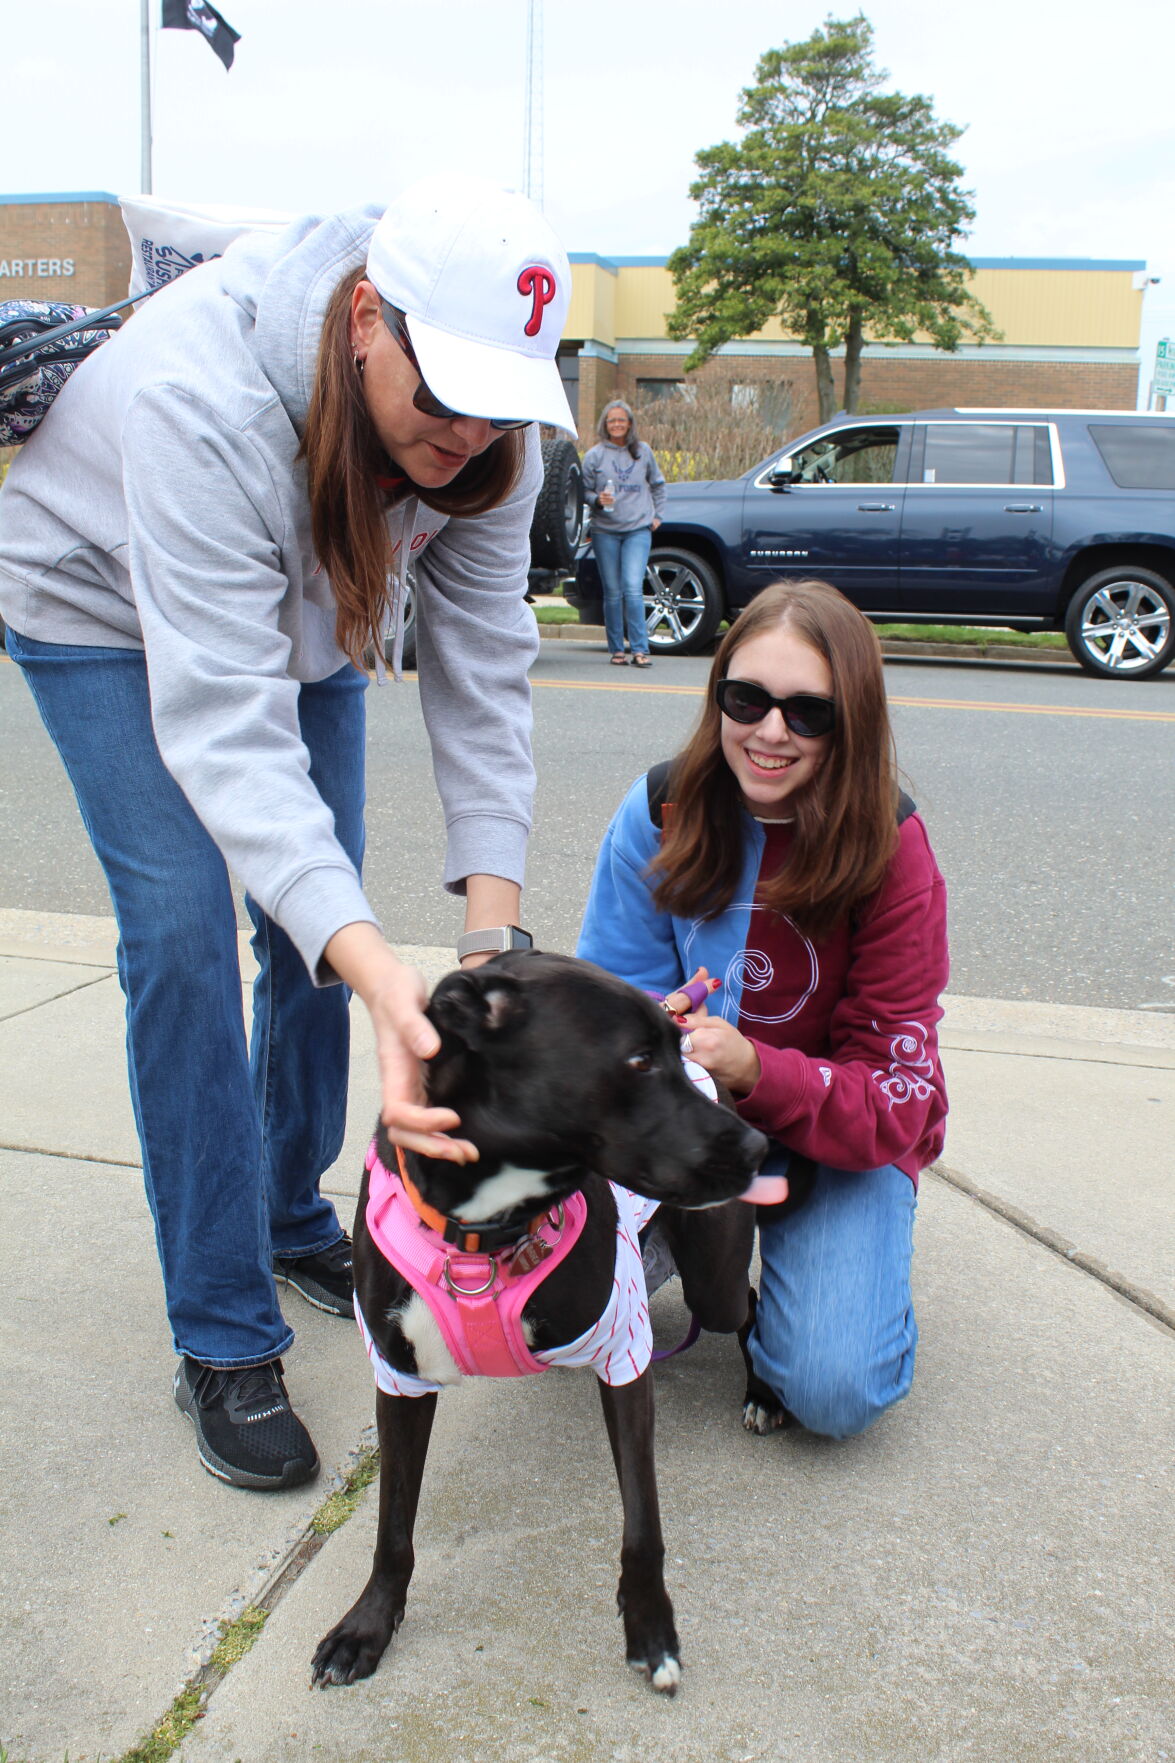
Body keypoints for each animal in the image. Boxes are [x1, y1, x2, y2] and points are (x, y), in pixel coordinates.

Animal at [310, 952, 765, 1692]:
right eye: (639, 1059)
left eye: (671, 1050)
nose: (759, 1147)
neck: (486, 1228)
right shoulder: (400, 1376)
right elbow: (393, 1525)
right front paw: (368, 1624)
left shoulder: (622, 1353)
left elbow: (643, 1524)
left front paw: (651, 1629)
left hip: (713, 1282)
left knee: (748, 1306)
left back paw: (764, 1394)